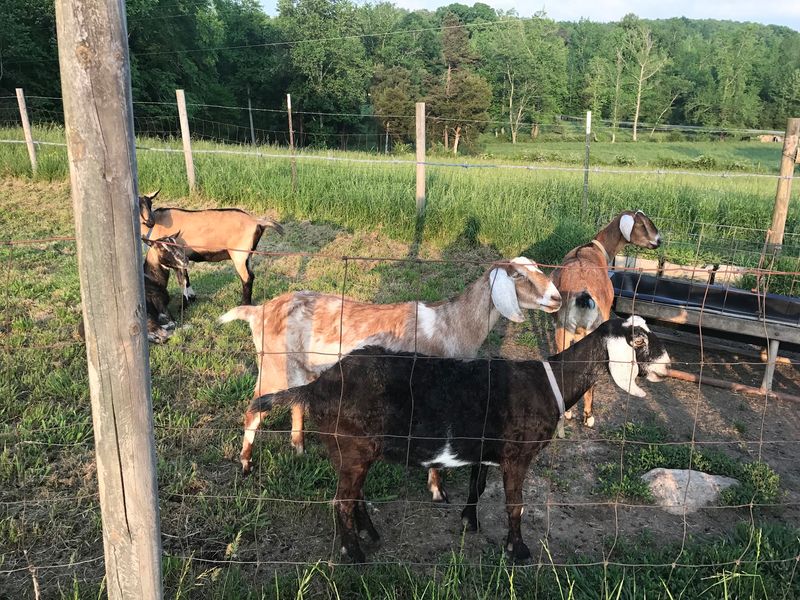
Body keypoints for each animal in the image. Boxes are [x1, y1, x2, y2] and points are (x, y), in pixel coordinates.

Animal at [138, 190, 283, 305]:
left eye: (149, 204)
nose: (149, 221)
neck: (157, 224)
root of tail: (257, 222)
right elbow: (186, 278)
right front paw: (192, 298)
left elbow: (182, 280)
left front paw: (185, 303)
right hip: (248, 255)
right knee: (252, 275)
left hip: (239, 255)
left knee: (246, 278)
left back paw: (244, 303)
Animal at [219, 257, 562, 499]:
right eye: (518, 276)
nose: (556, 298)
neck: (451, 326)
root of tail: (259, 311)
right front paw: (437, 490)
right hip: (272, 365)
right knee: (254, 410)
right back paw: (246, 462)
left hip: (298, 368)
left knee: (295, 403)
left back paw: (299, 447)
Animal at [248, 316, 671, 563]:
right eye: (639, 340)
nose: (668, 366)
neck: (549, 383)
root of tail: (318, 385)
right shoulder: (517, 454)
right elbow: (515, 505)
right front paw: (518, 550)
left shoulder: (486, 448)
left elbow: (478, 485)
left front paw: (470, 520)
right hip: (352, 447)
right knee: (341, 501)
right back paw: (354, 554)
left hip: (349, 450)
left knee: (353, 496)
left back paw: (371, 535)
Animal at [551, 210, 660, 433]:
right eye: (643, 224)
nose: (658, 241)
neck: (594, 249)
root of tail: (582, 295)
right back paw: (588, 416)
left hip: (563, 332)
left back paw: (568, 412)